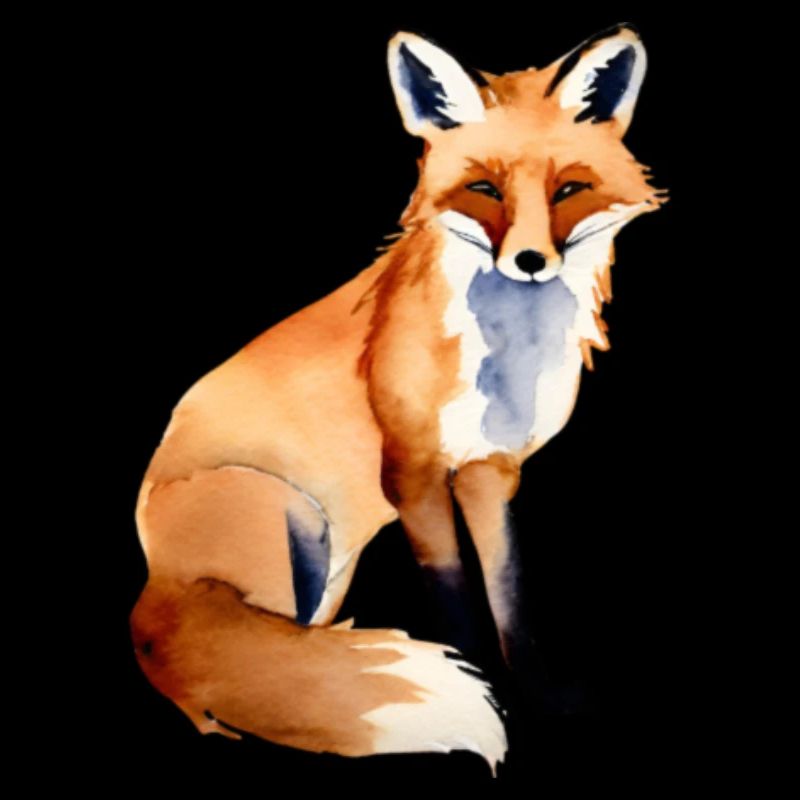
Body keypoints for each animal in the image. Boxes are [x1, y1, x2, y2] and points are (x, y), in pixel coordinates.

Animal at [129, 23, 667, 777]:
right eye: (483, 188)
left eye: (568, 189)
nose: (531, 262)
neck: (509, 355)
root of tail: (157, 578)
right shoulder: (412, 473)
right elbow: (454, 598)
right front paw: (488, 688)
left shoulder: (490, 472)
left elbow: (510, 597)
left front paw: (537, 699)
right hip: (298, 521)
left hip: (328, 568)